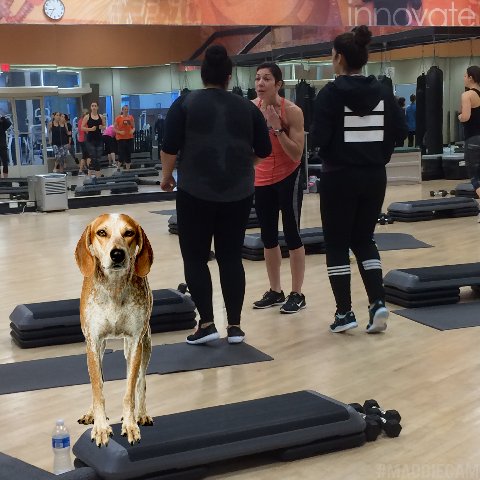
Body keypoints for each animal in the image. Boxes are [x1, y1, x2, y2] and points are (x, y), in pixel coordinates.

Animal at [75, 213, 154, 447]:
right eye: (102, 232)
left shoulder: (136, 341)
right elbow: (97, 388)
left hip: (145, 344)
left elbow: (130, 390)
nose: (117, 253)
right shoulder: (93, 342)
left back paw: (142, 413)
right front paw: (100, 427)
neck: (114, 289)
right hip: (100, 348)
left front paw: (130, 424)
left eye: (129, 233)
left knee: (141, 381)